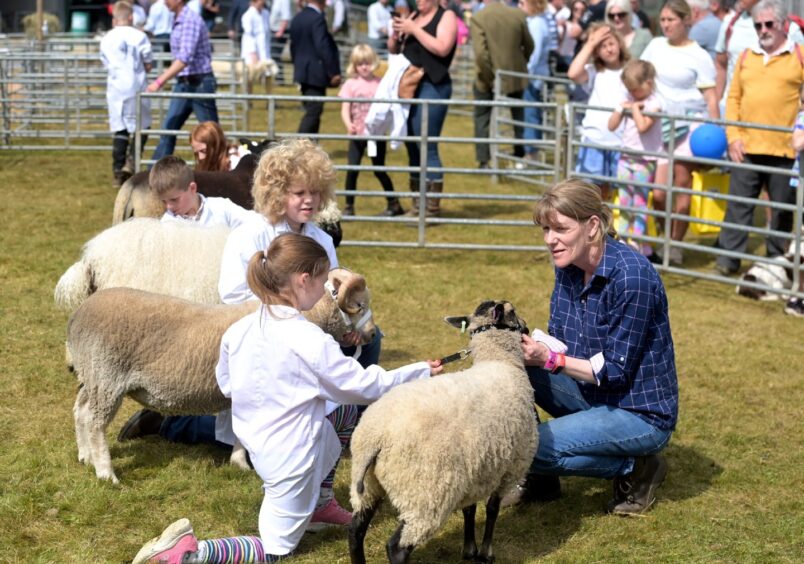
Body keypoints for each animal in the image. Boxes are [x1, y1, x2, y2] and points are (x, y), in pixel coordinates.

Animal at [348, 302, 536, 564]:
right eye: (513, 310)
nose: (527, 328)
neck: (501, 361)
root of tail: (375, 438)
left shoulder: (477, 468)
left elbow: (470, 508)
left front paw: (469, 550)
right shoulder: (510, 467)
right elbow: (492, 509)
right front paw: (486, 553)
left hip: (368, 486)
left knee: (355, 532)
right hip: (425, 493)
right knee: (397, 546)